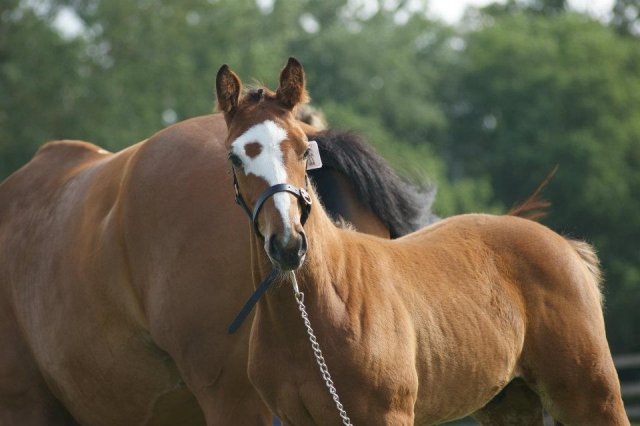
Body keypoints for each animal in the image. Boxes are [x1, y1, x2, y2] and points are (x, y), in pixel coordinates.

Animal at [218, 59, 628, 426]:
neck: (323, 305)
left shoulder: (388, 416)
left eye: (305, 149)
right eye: (235, 157)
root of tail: (564, 246)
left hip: (593, 396)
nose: (288, 244)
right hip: (509, 402)